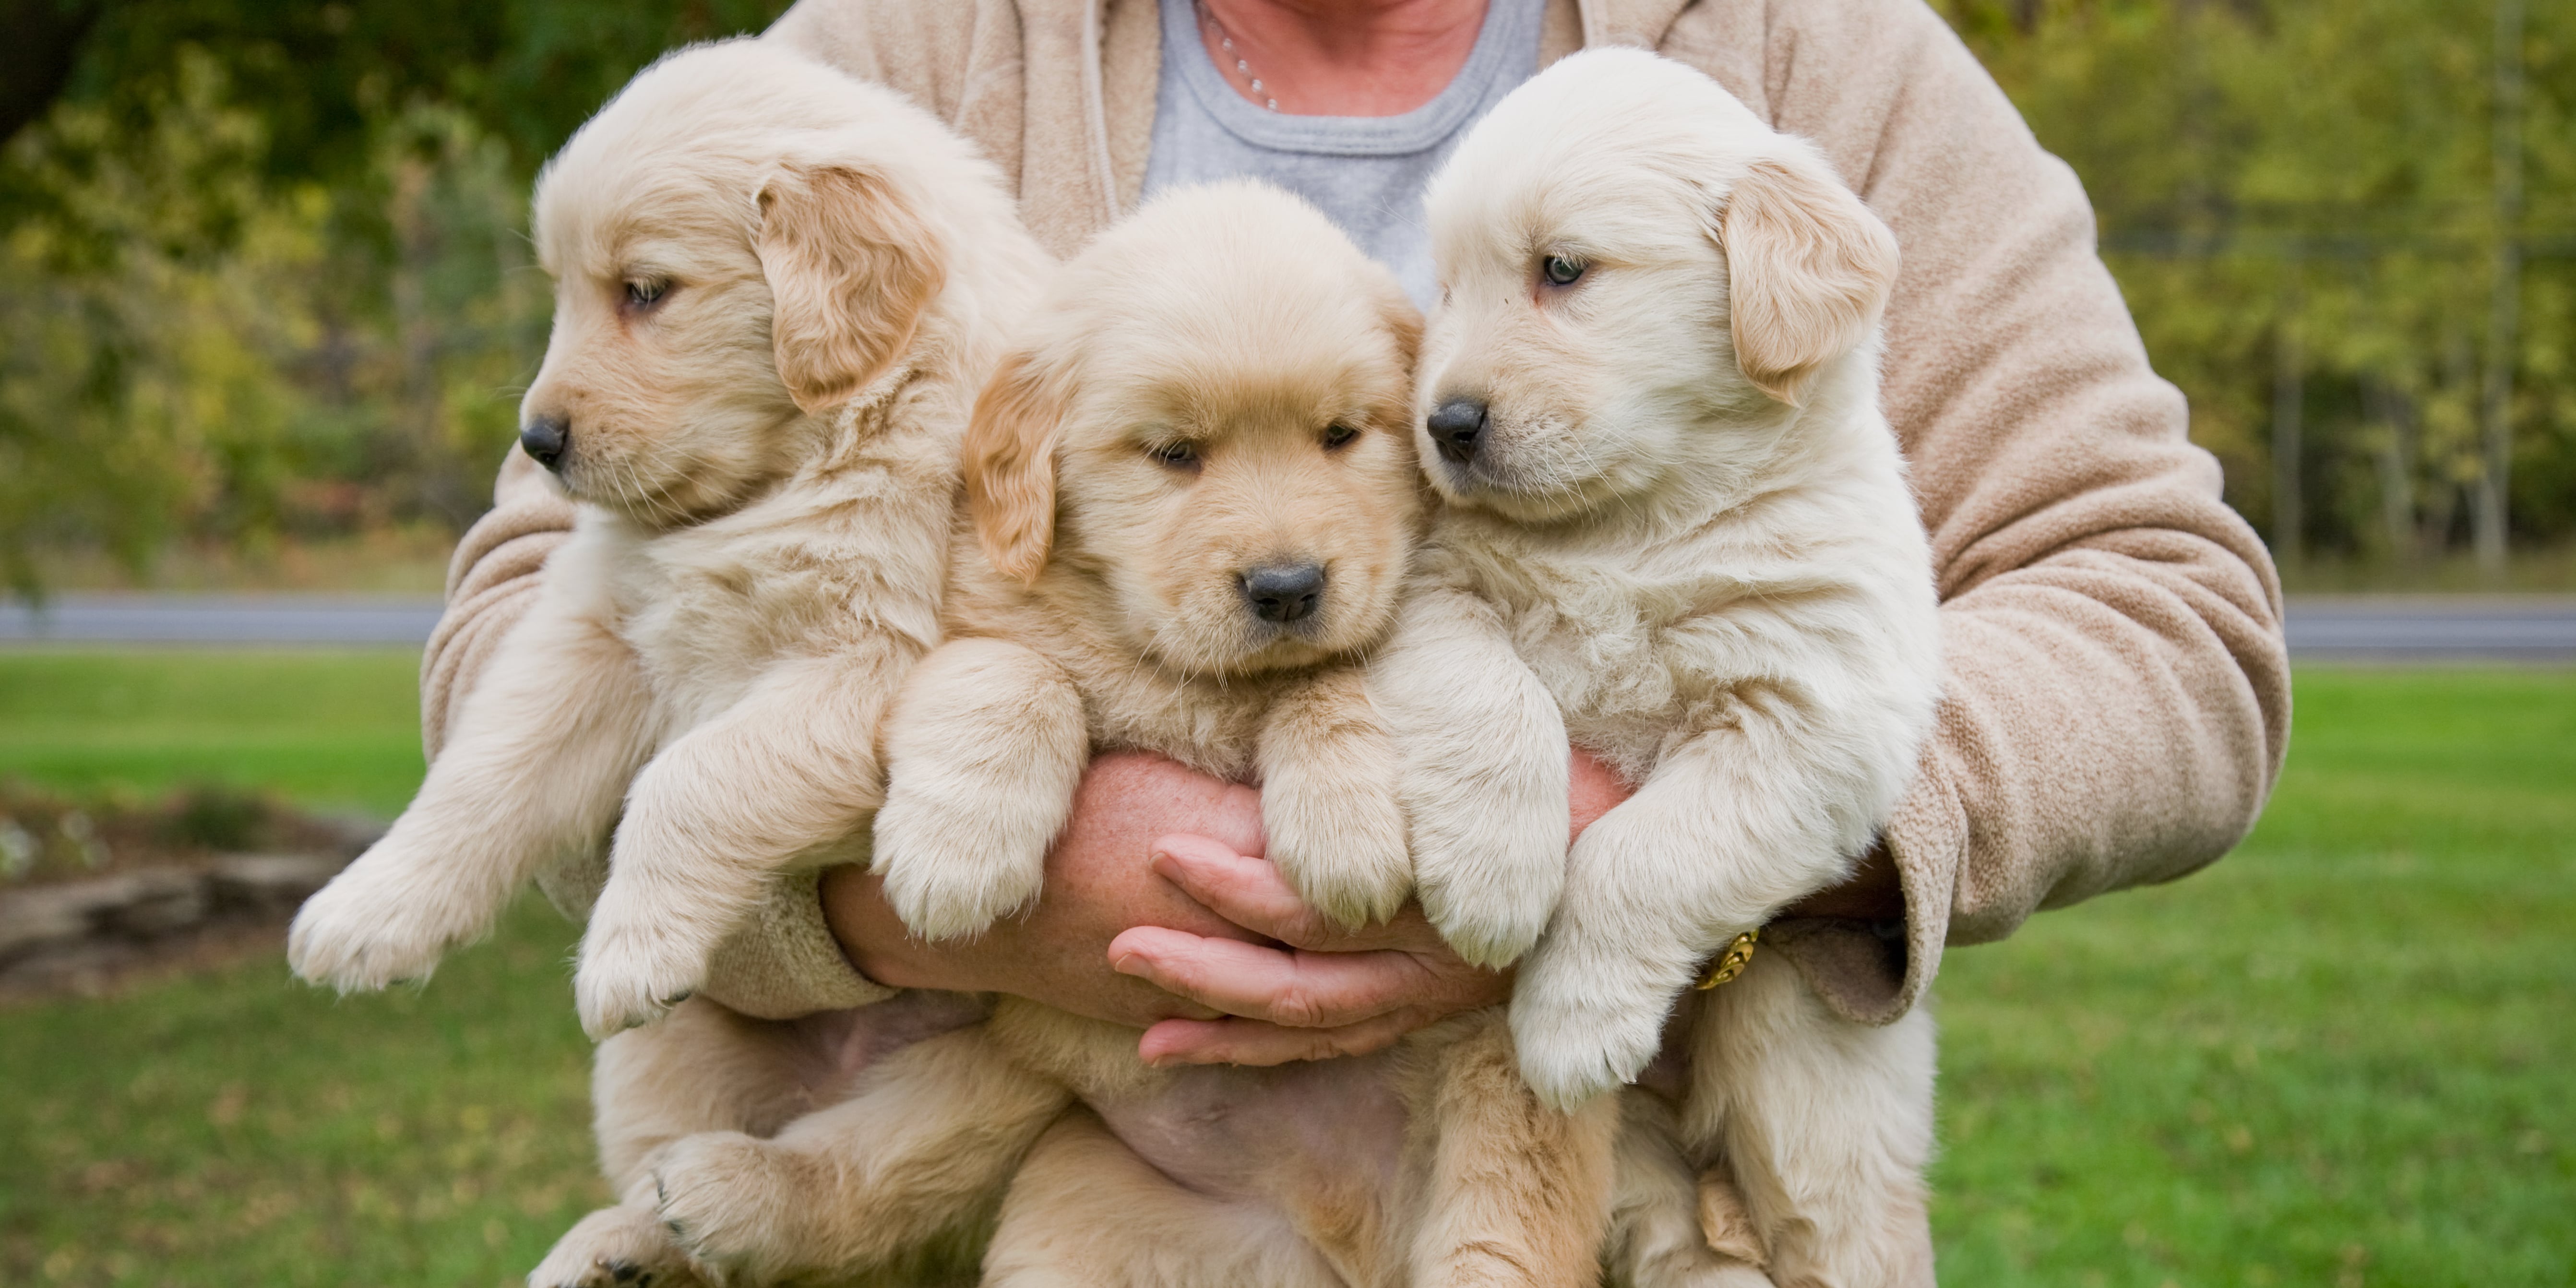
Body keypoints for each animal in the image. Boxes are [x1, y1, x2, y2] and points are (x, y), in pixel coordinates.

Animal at [1391, 45, 1937, 1283]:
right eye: (1444, 287)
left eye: (1560, 269)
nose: (1442, 424)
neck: (1634, 523)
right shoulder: (1432, 585)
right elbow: (1489, 697)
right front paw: (1494, 874)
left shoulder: (1810, 717)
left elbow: (1642, 856)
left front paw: (1570, 1017)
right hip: (1640, 1168)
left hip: (1806, 1095)